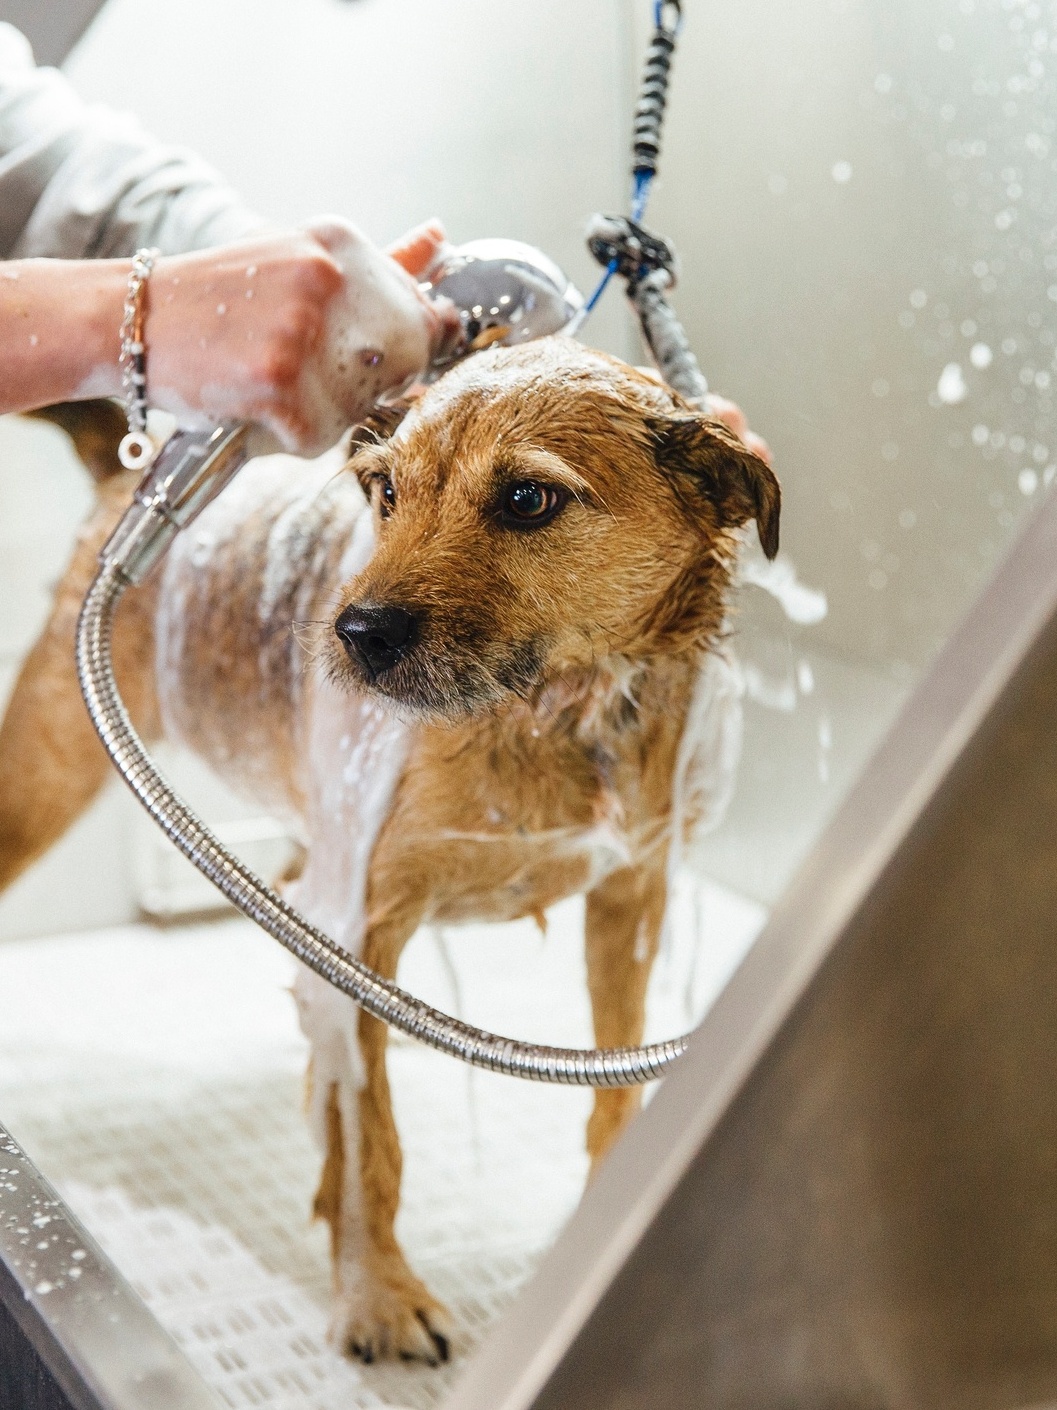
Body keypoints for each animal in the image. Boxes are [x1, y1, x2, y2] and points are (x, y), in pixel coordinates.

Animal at [0, 335, 777, 1359]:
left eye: (527, 499)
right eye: (385, 491)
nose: (355, 633)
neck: (549, 714)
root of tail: (127, 471)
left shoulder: (628, 902)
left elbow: (616, 1089)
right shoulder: (362, 928)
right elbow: (371, 1141)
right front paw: (378, 1294)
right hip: (45, 779)